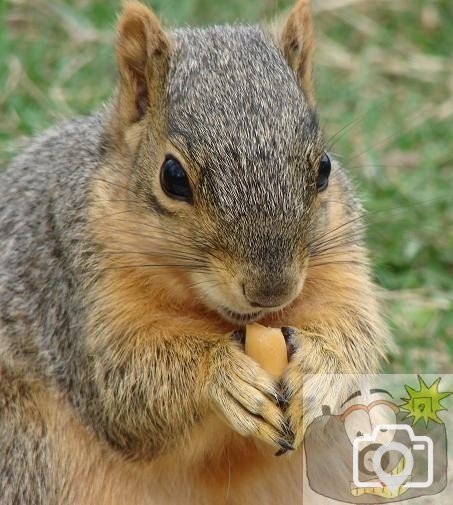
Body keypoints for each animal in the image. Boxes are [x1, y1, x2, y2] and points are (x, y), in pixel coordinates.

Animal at [0, 0, 384, 504]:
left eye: (323, 169)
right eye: (172, 177)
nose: (271, 289)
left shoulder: (339, 261)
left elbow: (355, 329)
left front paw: (321, 370)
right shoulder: (75, 287)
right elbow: (121, 384)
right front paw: (220, 375)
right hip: (25, 447)